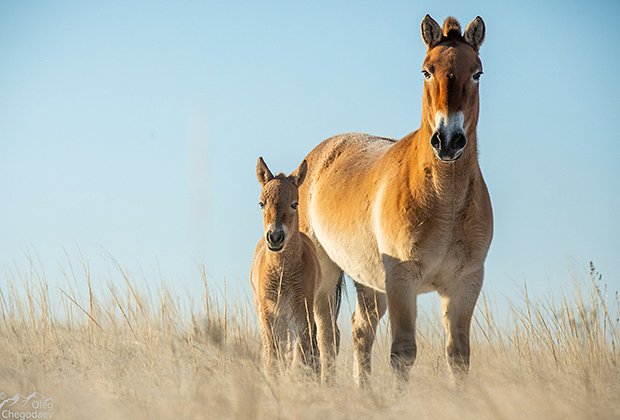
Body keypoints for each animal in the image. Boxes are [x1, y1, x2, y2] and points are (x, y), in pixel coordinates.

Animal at [251, 157, 322, 378]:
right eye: (261, 203)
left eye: (294, 203)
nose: (275, 237)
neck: (282, 274)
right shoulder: (269, 314)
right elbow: (272, 358)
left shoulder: (301, 311)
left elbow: (300, 358)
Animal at [300, 15, 494, 384]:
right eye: (426, 71)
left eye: (477, 73)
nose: (448, 141)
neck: (444, 204)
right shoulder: (403, 281)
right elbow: (403, 354)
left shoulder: (465, 284)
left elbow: (458, 356)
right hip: (326, 275)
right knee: (326, 337)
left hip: (368, 281)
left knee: (360, 332)